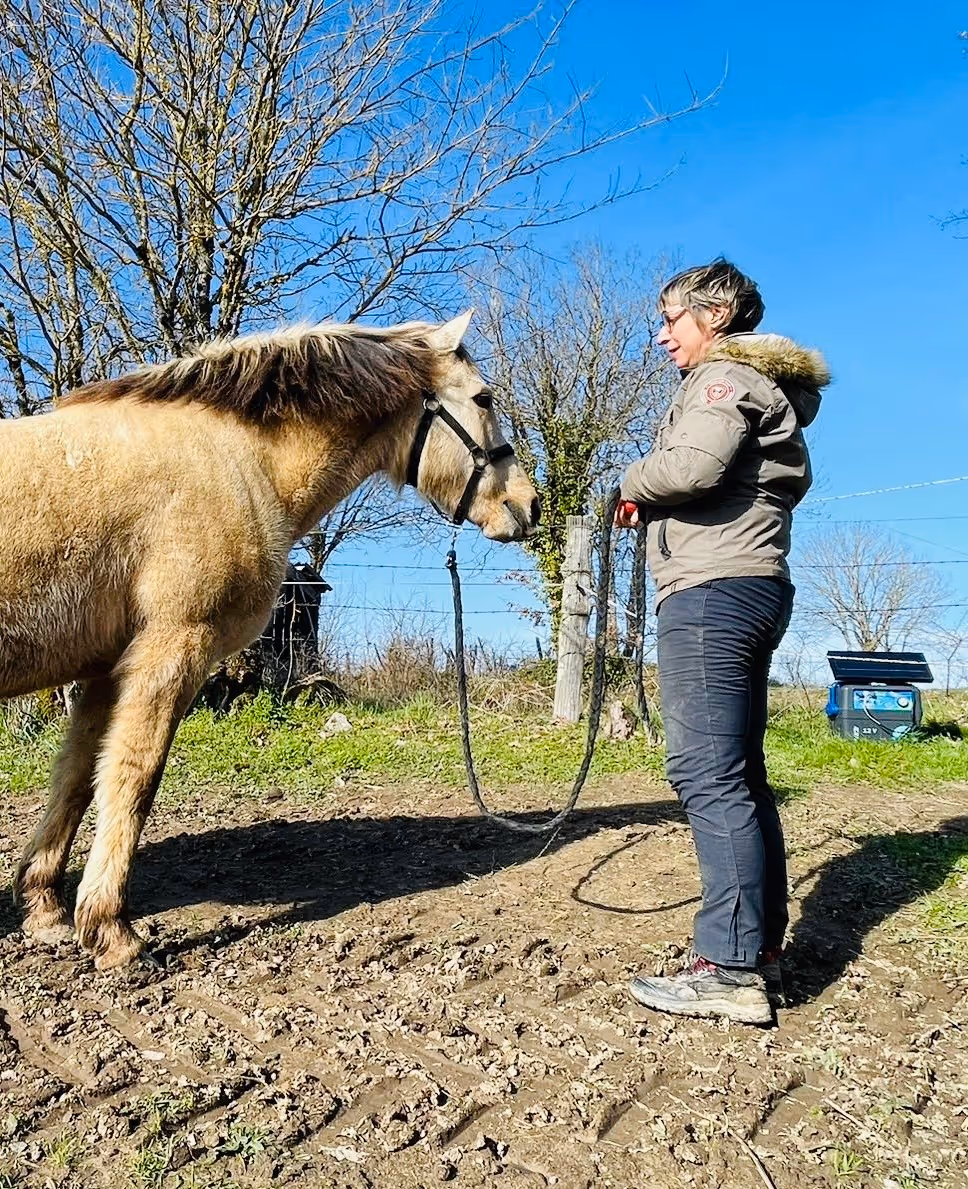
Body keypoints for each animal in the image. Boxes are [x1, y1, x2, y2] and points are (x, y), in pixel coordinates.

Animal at [1, 310, 540, 970]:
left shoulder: (107, 667)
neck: (238, 460)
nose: (528, 503)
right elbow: (135, 778)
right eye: (484, 398)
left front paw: (46, 908)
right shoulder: (172, 649)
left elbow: (78, 778)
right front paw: (111, 930)